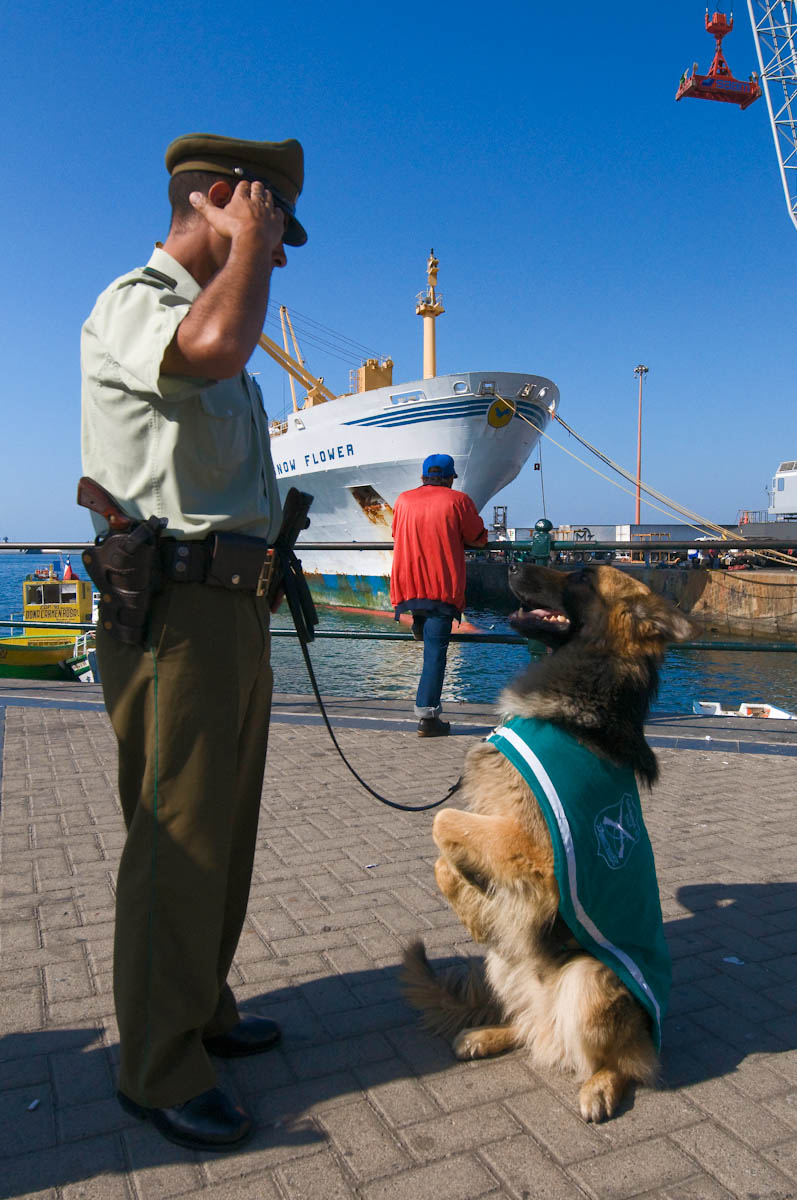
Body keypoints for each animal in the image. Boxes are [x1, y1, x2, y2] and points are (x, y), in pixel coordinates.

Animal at [400, 561, 696, 1123]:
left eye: (581, 574)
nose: (510, 563)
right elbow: (444, 860)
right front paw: (479, 909)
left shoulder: (536, 850)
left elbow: (442, 824)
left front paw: (477, 895)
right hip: (505, 966)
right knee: (526, 1024)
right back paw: (489, 1032)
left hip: (591, 981)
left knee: (626, 1064)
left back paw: (600, 1087)